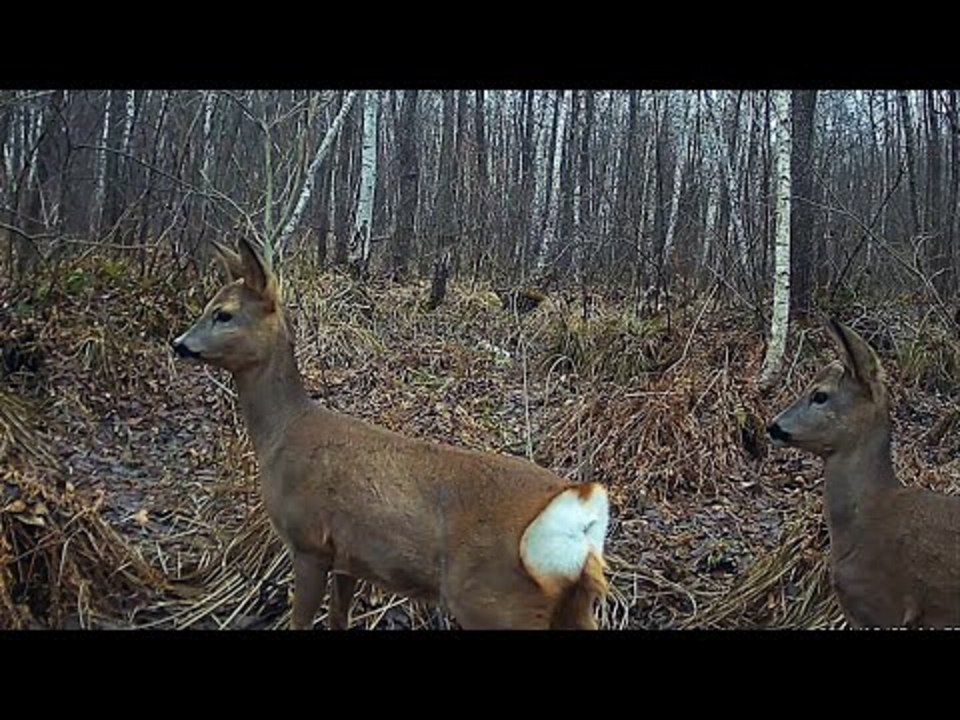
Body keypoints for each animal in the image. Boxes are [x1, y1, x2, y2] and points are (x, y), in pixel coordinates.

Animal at [171, 238, 610, 630]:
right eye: (208, 307)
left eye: (224, 314)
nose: (178, 343)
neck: (282, 433)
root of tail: (578, 515)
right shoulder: (349, 557)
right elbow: (339, 619)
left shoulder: (309, 541)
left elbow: (301, 621)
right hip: (574, 606)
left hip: (497, 601)